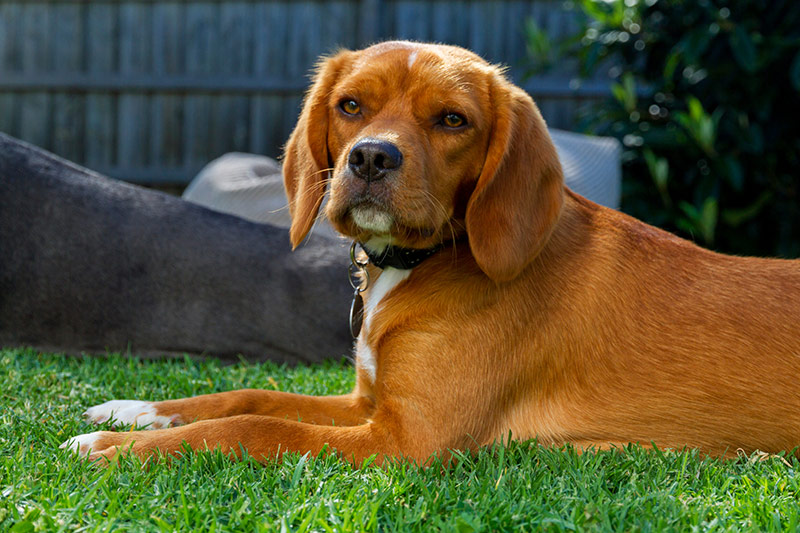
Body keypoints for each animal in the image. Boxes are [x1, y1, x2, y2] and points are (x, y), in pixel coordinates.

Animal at [62, 40, 800, 462]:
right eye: (350, 105)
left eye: (452, 120)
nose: (370, 157)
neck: (420, 262)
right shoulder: (368, 403)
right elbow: (248, 393)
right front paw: (133, 411)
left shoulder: (407, 438)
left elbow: (255, 428)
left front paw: (111, 447)